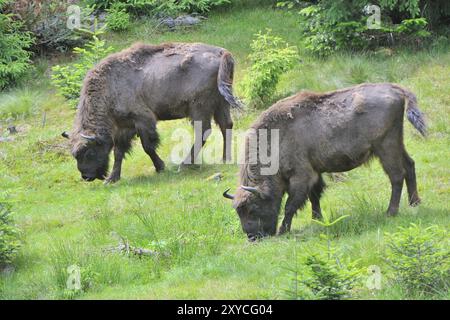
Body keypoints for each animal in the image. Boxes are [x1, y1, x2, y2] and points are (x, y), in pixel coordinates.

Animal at [62, 43, 241, 182]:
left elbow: (147, 146)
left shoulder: (142, 120)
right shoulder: (123, 127)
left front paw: (160, 167)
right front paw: (112, 179)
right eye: (75, 155)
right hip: (221, 103)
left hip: (199, 108)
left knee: (203, 132)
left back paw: (184, 165)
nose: (86, 176)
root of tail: (221, 53)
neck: (108, 87)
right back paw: (225, 158)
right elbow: (119, 152)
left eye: (89, 152)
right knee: (226, 125)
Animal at [223, 82, 428, 240]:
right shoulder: (314, 173)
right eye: (238, 211)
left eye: (253, 208)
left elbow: (291, 205)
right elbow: (315, 196)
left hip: (385, 147)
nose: (252, 237)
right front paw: (318, 219)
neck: (276, 137)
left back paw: (391, 212)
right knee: (410, 165)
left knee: (396, 175)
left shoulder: (301, 176)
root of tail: (396, 89)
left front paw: (283, 230)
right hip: (396, 144)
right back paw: (414, 203)